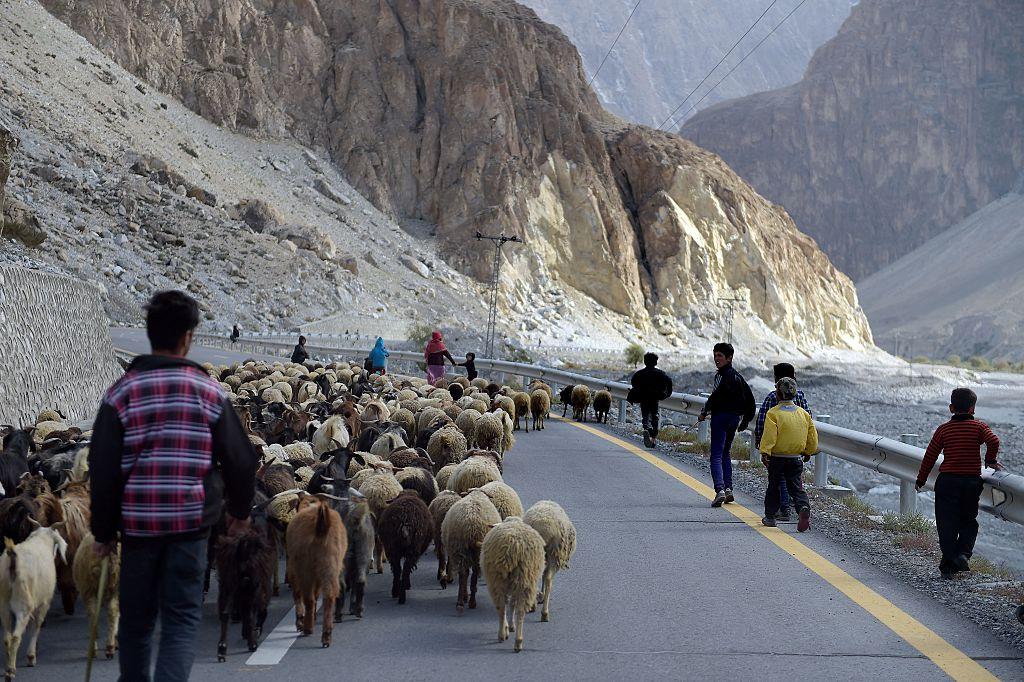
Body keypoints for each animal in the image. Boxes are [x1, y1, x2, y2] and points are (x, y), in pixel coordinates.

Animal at [284, 493, 348, 643]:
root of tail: (321, 525)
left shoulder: (294, 569)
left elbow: (298, 594)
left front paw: (300, 622)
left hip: (305, 568)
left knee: (308, 598)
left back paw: (308, 628)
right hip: (330, 565)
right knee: (329, 595)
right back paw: (326, 634)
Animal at [483, 516, 548, 647]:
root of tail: (513, 547)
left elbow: (511, 603)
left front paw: (510, 626)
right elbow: (512, 604)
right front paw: (511, 627)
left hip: (498, 578)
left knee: (502, 606)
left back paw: (505, 635)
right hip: (523, 578)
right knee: (518, 609)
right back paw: (516, 640)